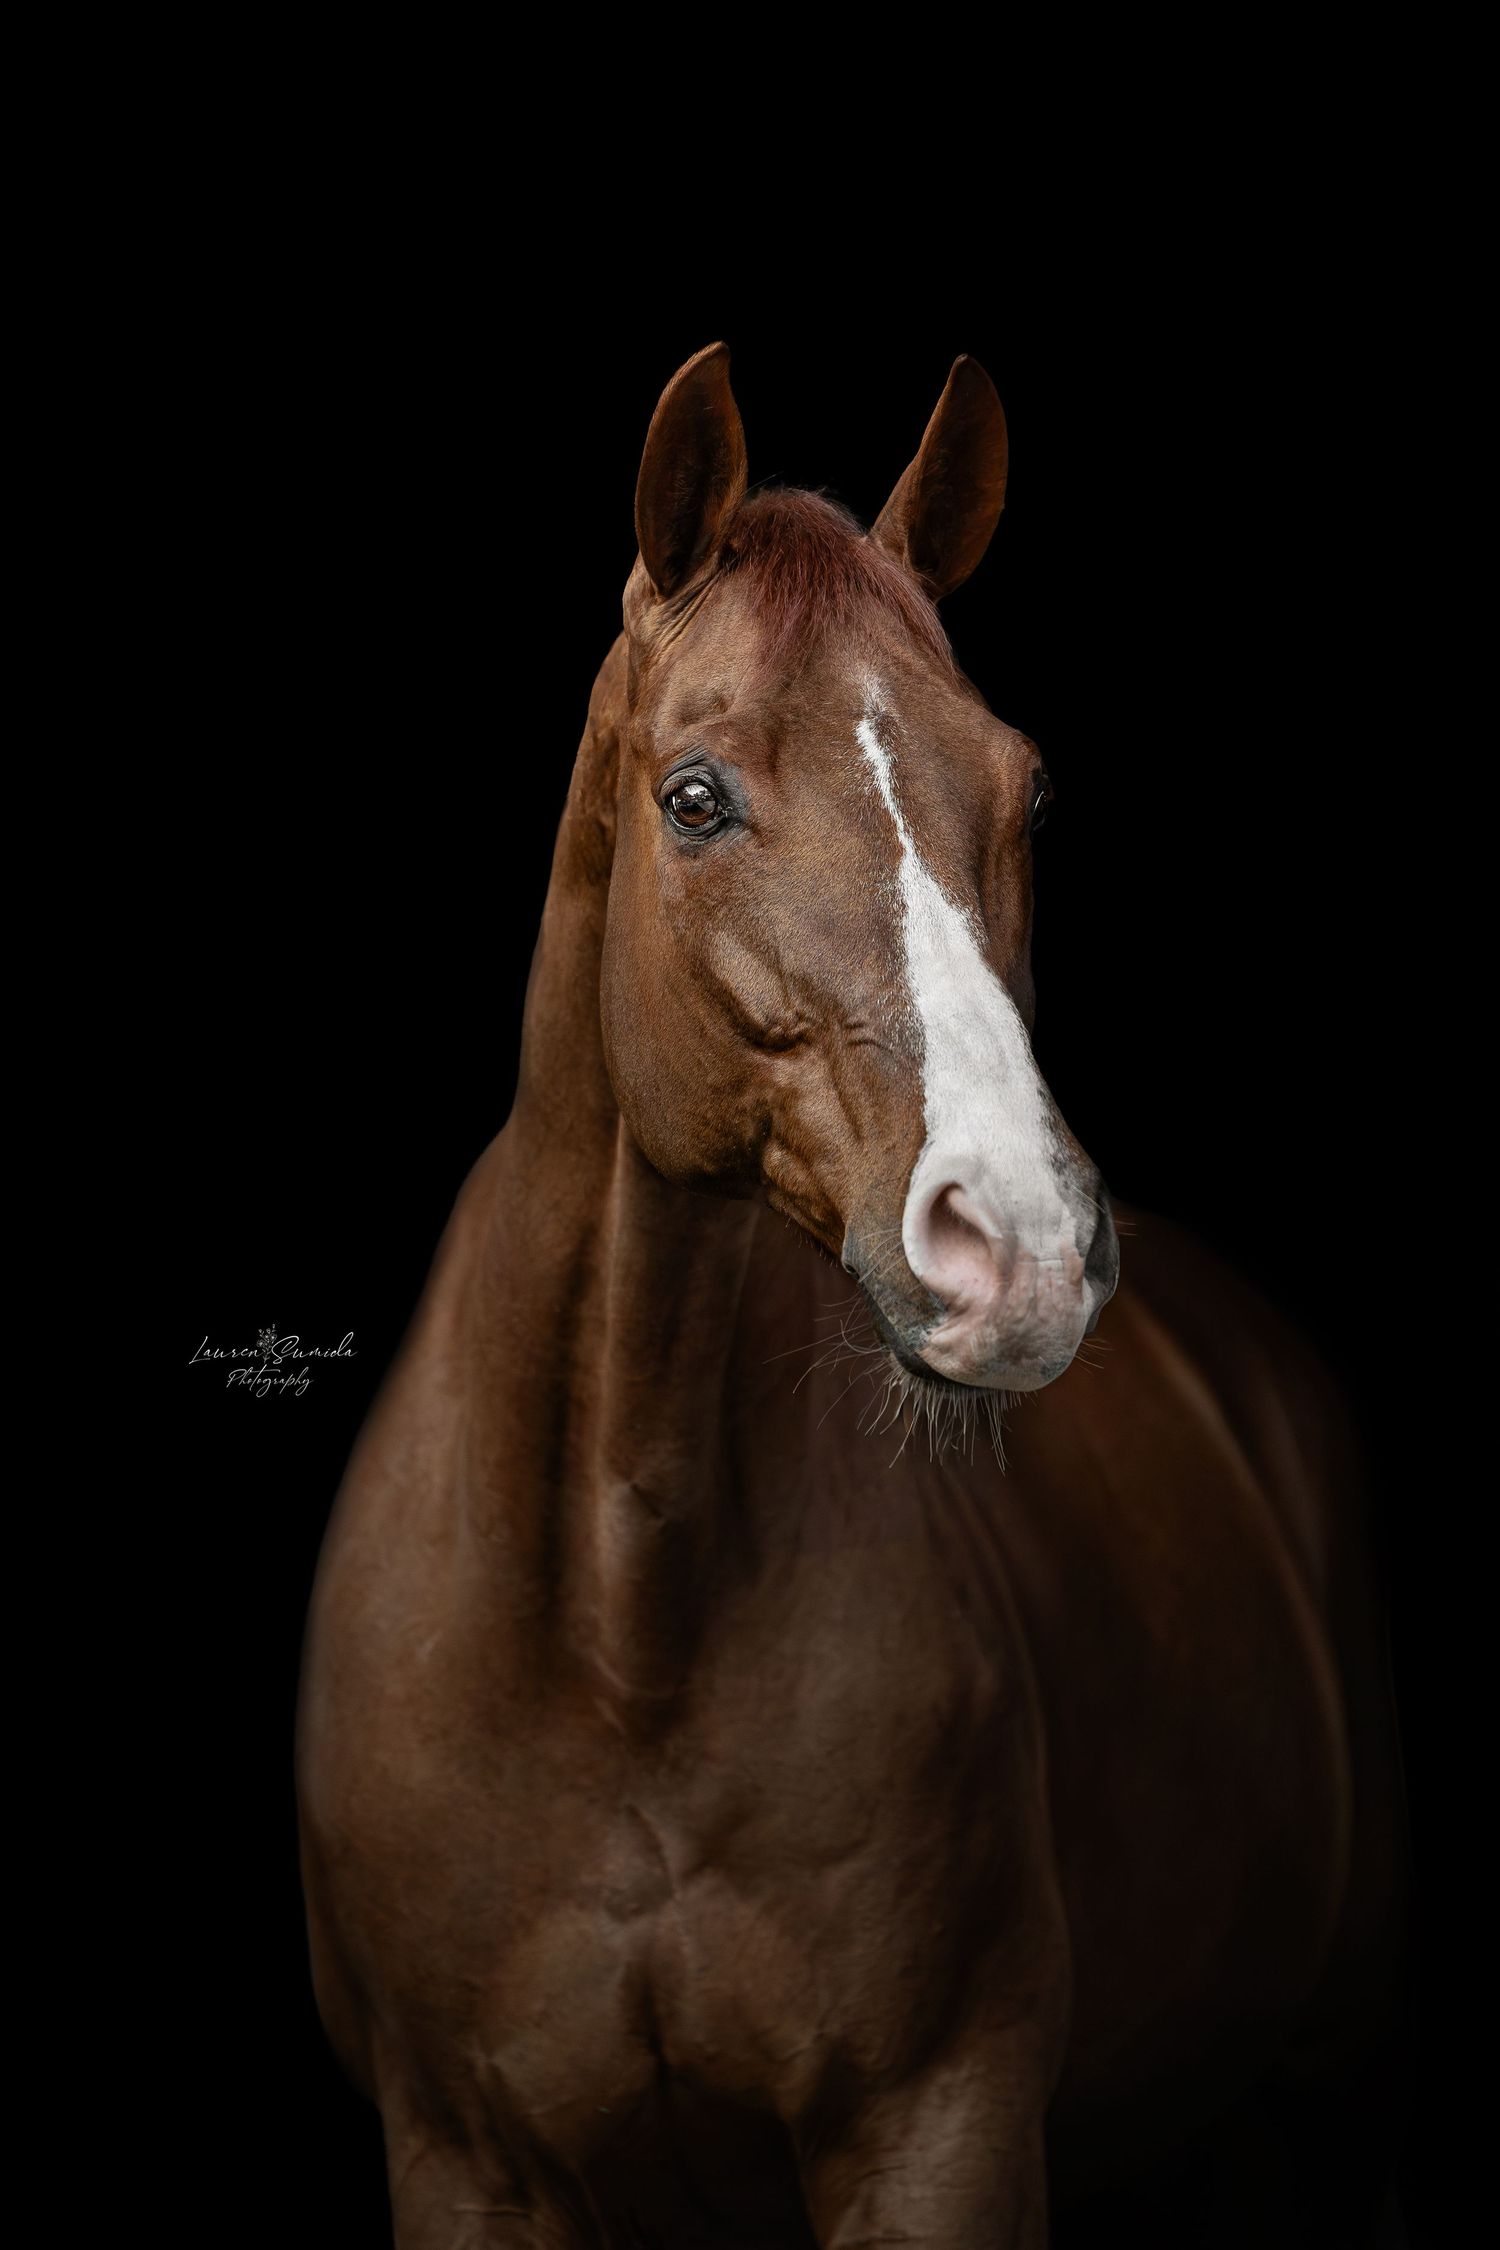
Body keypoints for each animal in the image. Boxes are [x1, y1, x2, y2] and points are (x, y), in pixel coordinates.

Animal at [296, 345, 1408, 2246]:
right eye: (694, 796)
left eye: (1027, 792)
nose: (1020, 1242)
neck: (618, 1637)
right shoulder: (466, 2160)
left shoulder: (934, 2133)